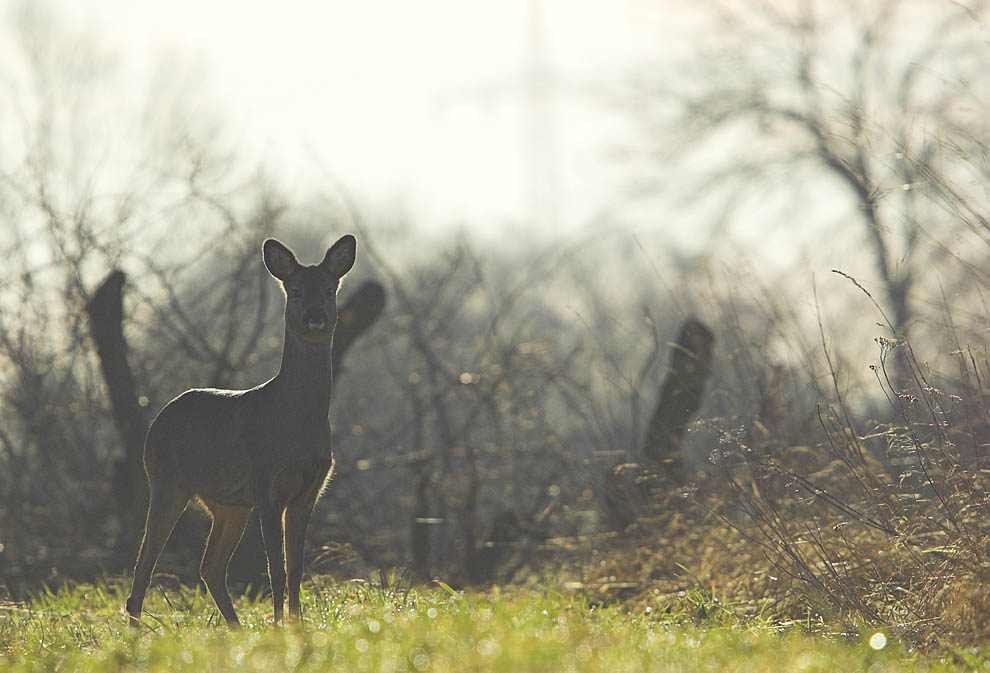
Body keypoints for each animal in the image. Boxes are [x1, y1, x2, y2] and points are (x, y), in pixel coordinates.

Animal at [125, 234, 356, 628]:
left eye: (329, 289)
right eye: (295, 291)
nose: (315, 315)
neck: (294, 419)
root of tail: (157, 421)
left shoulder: (309, 489)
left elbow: (296, 570)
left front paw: (298, 628)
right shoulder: (266, 483)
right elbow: (275, 570)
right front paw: (280, 628)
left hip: (228, 504)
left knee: (211, 566)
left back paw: (236, 629)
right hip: (166, 480)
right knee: (144, 565)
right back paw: (136, 632)